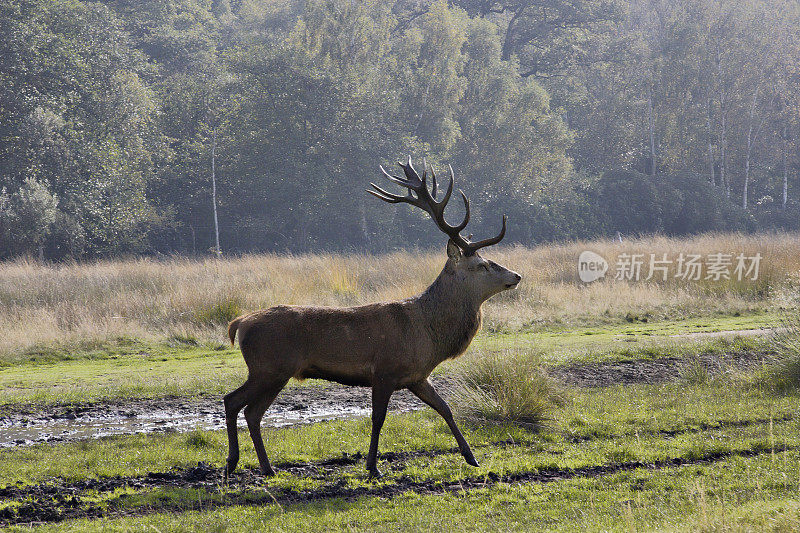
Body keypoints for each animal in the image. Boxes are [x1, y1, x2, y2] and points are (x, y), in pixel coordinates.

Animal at [225, 158, 520, 478]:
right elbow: (378, 418)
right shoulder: (384, 371)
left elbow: (445, 408)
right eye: (482, 265)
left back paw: (260, 467)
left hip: (272, 370)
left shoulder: (417, 376)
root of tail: (239, 323)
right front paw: (372, 467)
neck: (429, 333)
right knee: (237, 403)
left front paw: (472, 457)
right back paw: (240, 463)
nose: (516, 276)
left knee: (249, 411)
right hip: (270, 367)